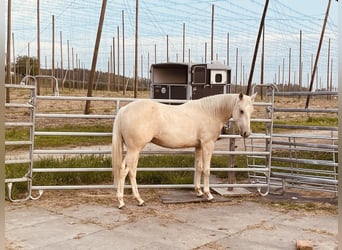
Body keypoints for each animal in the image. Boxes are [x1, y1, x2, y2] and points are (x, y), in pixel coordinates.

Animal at [112, 93, 256, 208]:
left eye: (252, 111)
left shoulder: (199, 146)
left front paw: (198, 192)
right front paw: (208, 194)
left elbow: (198, 167)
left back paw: (133, 199)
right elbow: (206, 170)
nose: (246, 133)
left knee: (127, 169)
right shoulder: (207, 145)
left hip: (133, 150)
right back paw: (127, 201)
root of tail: (124, 110)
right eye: (241, 110)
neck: (210, 112)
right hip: (134, 149)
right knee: (127, 171)